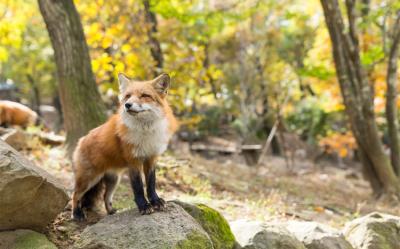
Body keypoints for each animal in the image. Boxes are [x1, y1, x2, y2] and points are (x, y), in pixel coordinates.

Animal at [72, 73, 178, 221]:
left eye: (144, 95)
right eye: (128, 96)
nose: (127, 105)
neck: (145, 131)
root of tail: (81, 140)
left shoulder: (151, 158)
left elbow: (151, 183)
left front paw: (155, 202)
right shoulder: (133, 160)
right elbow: (138, 187)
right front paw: (144, 206)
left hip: (114, 180)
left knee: (106, 196)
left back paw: (111, 212)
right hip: (89, 178)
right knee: (75, 194)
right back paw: (77, 213)